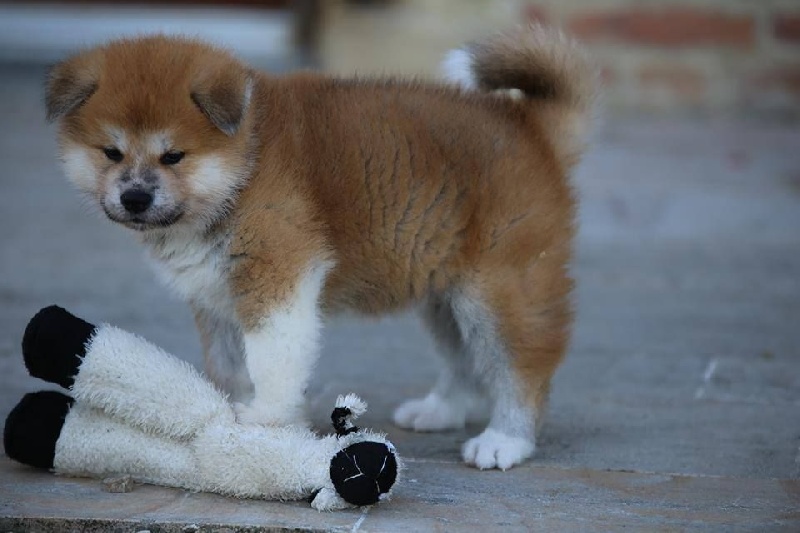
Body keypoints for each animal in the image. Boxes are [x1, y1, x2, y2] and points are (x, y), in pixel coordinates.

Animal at [45, 25, 592, 468]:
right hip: (445, 294)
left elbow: (271, 362)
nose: (134, 198)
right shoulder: (216, 298)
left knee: (522, 368)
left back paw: (505, 441)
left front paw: (265, 422)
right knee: (463, 360)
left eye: (173, 156)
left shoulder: (279, 278)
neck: (245, 165)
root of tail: (529, 125)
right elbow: (229, 366)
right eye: (111, 153)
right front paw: (226, 414)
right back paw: (440, 410)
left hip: (501, 291)